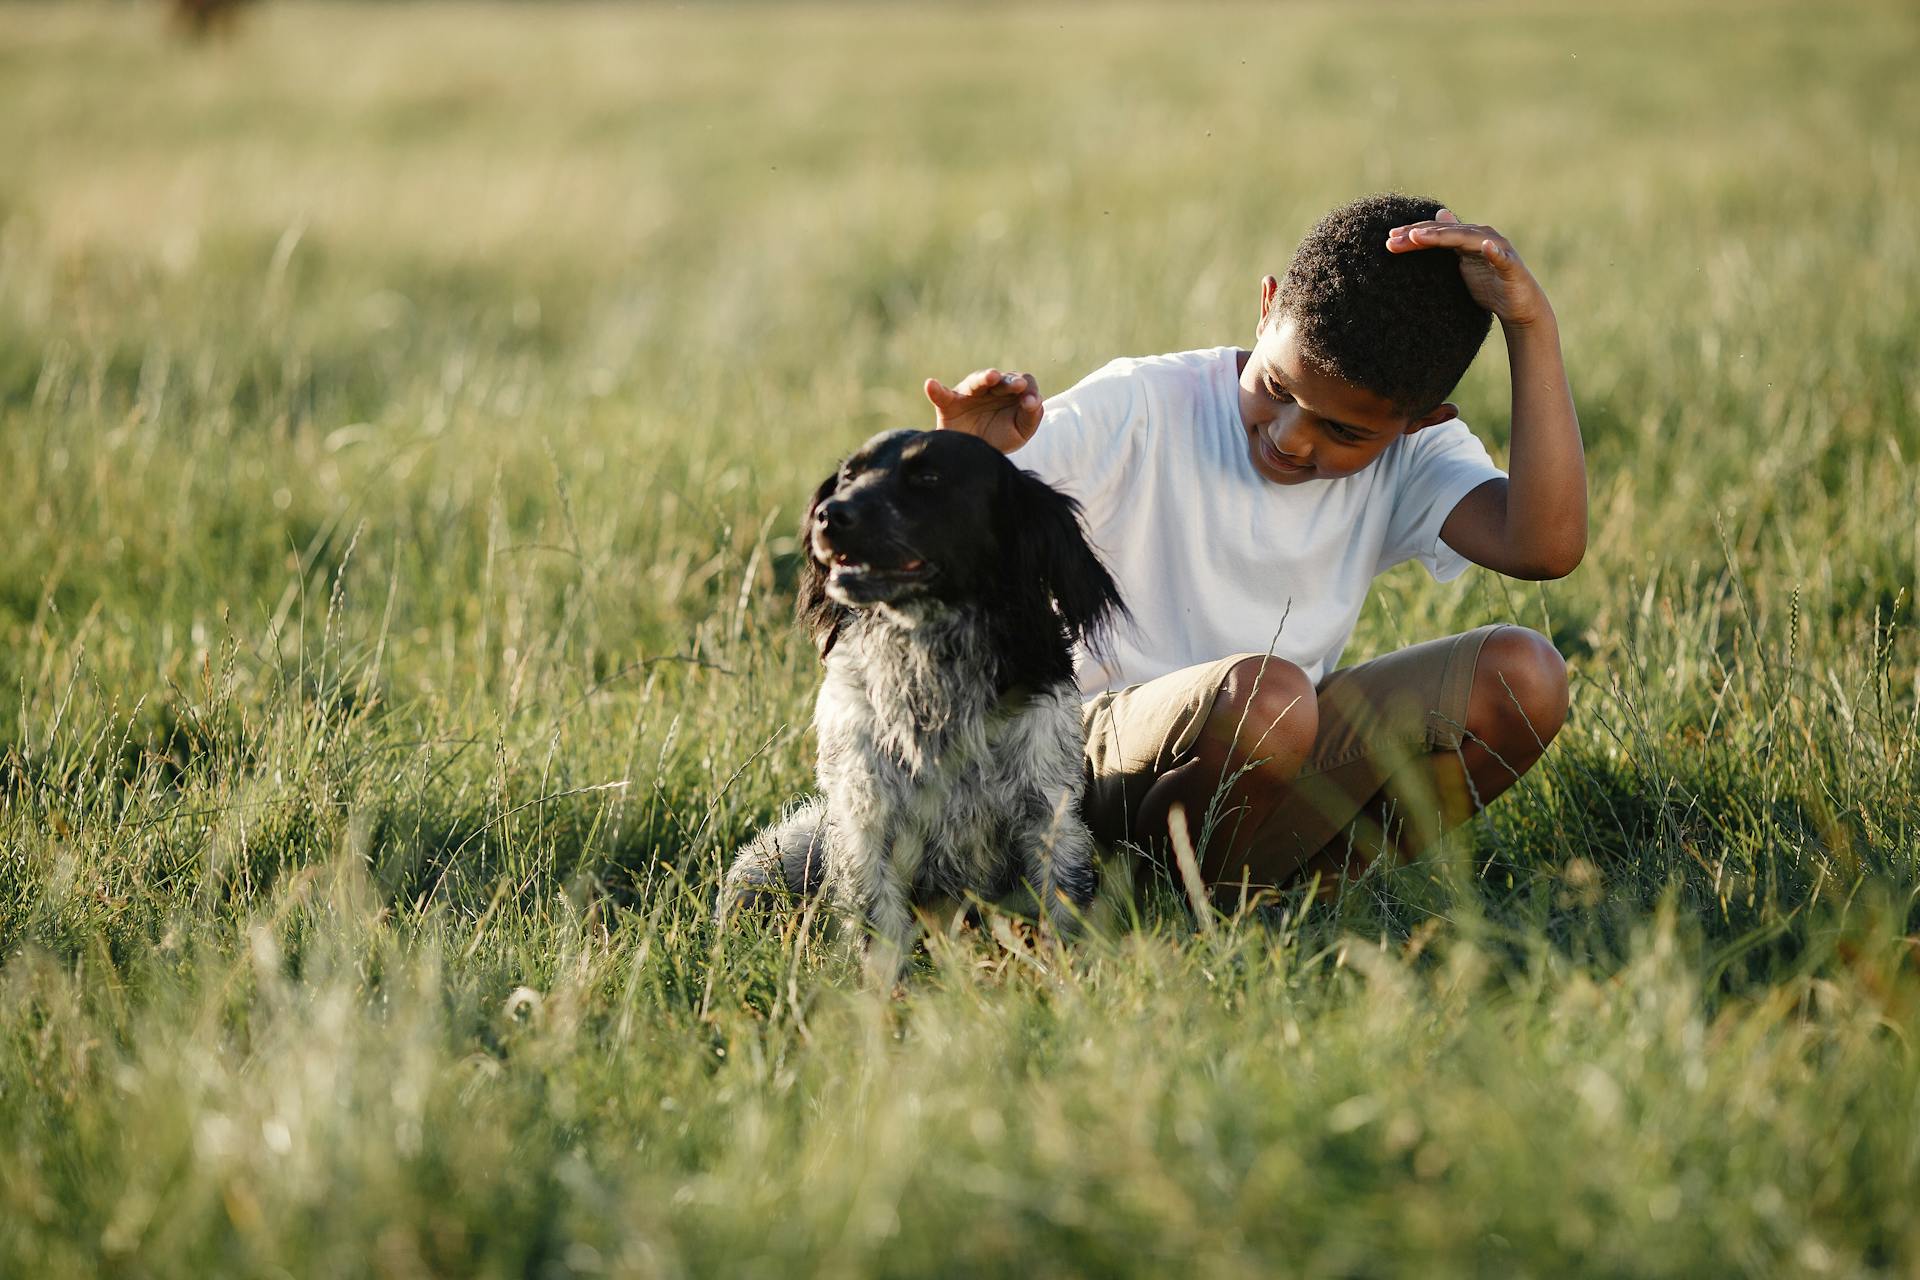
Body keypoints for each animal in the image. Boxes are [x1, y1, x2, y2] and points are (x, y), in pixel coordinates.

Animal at [725, 429, 1128, 982]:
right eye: (848, 475)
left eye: (929, 478)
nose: (828, 514)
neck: (928, 660)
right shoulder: (866, 817)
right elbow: (878, 927)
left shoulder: (1048, 814)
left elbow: (1060, 907)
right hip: (775, 858)